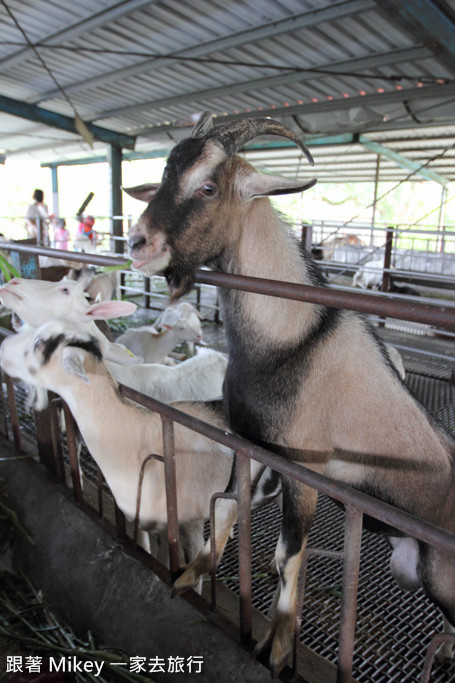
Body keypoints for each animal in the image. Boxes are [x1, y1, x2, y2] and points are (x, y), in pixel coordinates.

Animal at [124, 113, 455, 680]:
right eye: (164, 176)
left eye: (208, 187)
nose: (139, 243)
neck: (293, 337)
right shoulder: (250, 444)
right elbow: (225, 509)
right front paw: (191, 575)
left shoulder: (306, 470)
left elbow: (287, 557)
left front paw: (278, 645)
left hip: (442, 574)